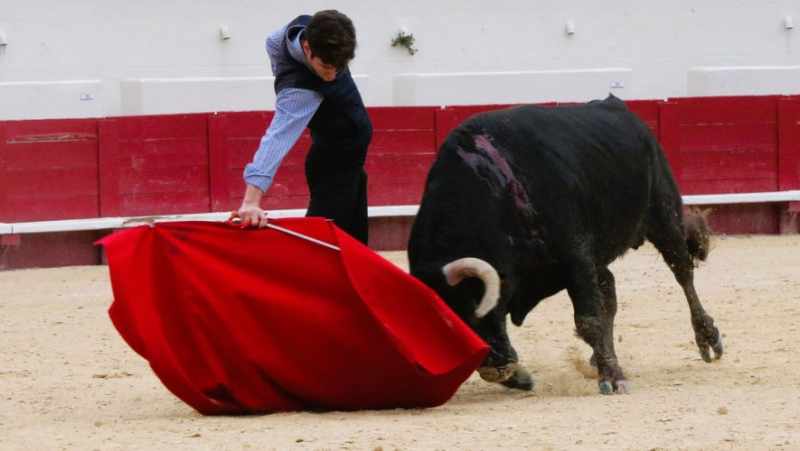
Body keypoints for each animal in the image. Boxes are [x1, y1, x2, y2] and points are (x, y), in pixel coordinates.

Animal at [410, 96, 720, 396]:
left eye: (477, 302)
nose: (493, 370)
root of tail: (618, 106)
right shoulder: (578, 261)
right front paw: (521, 377)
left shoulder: (575, 257)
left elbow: (588, 319)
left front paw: (613, 378)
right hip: (600, 254)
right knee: (610, 289)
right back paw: (599, 357)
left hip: (665, 214)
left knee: (682, 272)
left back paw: (707, 338)